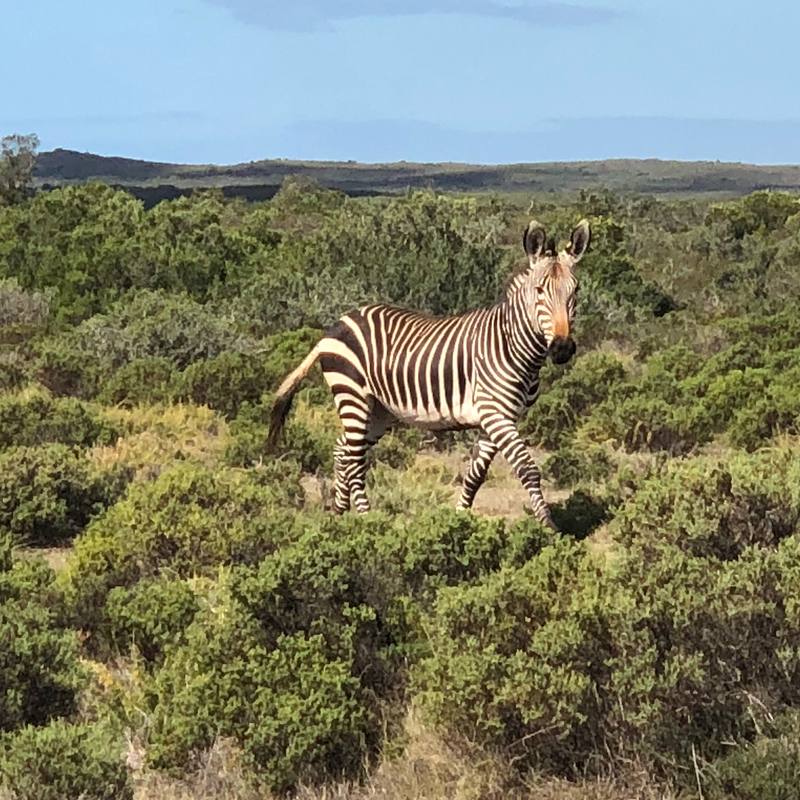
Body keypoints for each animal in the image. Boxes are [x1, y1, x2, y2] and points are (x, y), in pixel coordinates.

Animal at [268, 217, 588, 524]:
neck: (513, 346)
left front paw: (460, 521)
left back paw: (339, 514)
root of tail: (335, 326)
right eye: (539, 291)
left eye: (575, 291)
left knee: (342, 450)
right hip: (352, 394)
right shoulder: (495, 414)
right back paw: (367, 522)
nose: (562, 348)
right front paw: (548, 527)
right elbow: (528, 468)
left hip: (378, 410)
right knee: (355, 460)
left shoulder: (499, 419)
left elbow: (476, 476)